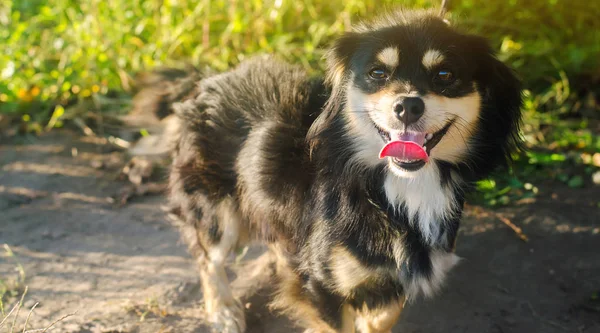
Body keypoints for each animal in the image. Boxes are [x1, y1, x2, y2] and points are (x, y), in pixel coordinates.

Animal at [139, 7, 520, 332]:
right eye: (377, 73)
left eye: (445, 75)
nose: (408, 106)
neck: (392, 186)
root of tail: (206, 81)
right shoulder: (321, 285)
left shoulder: (395, 270)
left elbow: (384, 313)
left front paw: (371, 319)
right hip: (218, 209)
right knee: (209, 259)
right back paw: (223, 312)